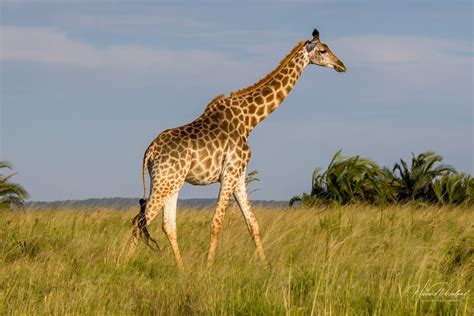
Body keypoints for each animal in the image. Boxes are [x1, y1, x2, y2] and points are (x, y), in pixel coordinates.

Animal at [128, 29, 346, 266]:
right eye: (323, 50)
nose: (341, 65)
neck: (249, 120)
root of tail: (149, 151)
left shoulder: (239, 176)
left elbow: (253, 223)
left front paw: (265, 266)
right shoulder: (230, 173)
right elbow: (216, 222)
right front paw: (208, 267)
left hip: (170, 182)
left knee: (167, 225)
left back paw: (182, 269)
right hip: (165, 182)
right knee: (140, 222)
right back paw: (122, 263)